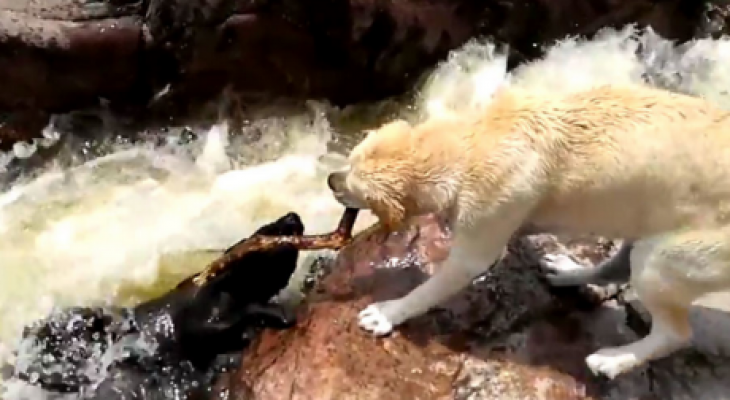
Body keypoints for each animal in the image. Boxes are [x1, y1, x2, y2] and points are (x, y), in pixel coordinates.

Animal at [328, 83, 728, 378]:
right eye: (349, 159)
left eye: (353, 184)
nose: (331, 179)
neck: (474, 140)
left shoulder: (484, 224)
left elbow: (437, 284)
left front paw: (387, 313)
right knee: (618, 265)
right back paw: (567, 272)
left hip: (672, 255)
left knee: (674, 331)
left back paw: (613, 360)